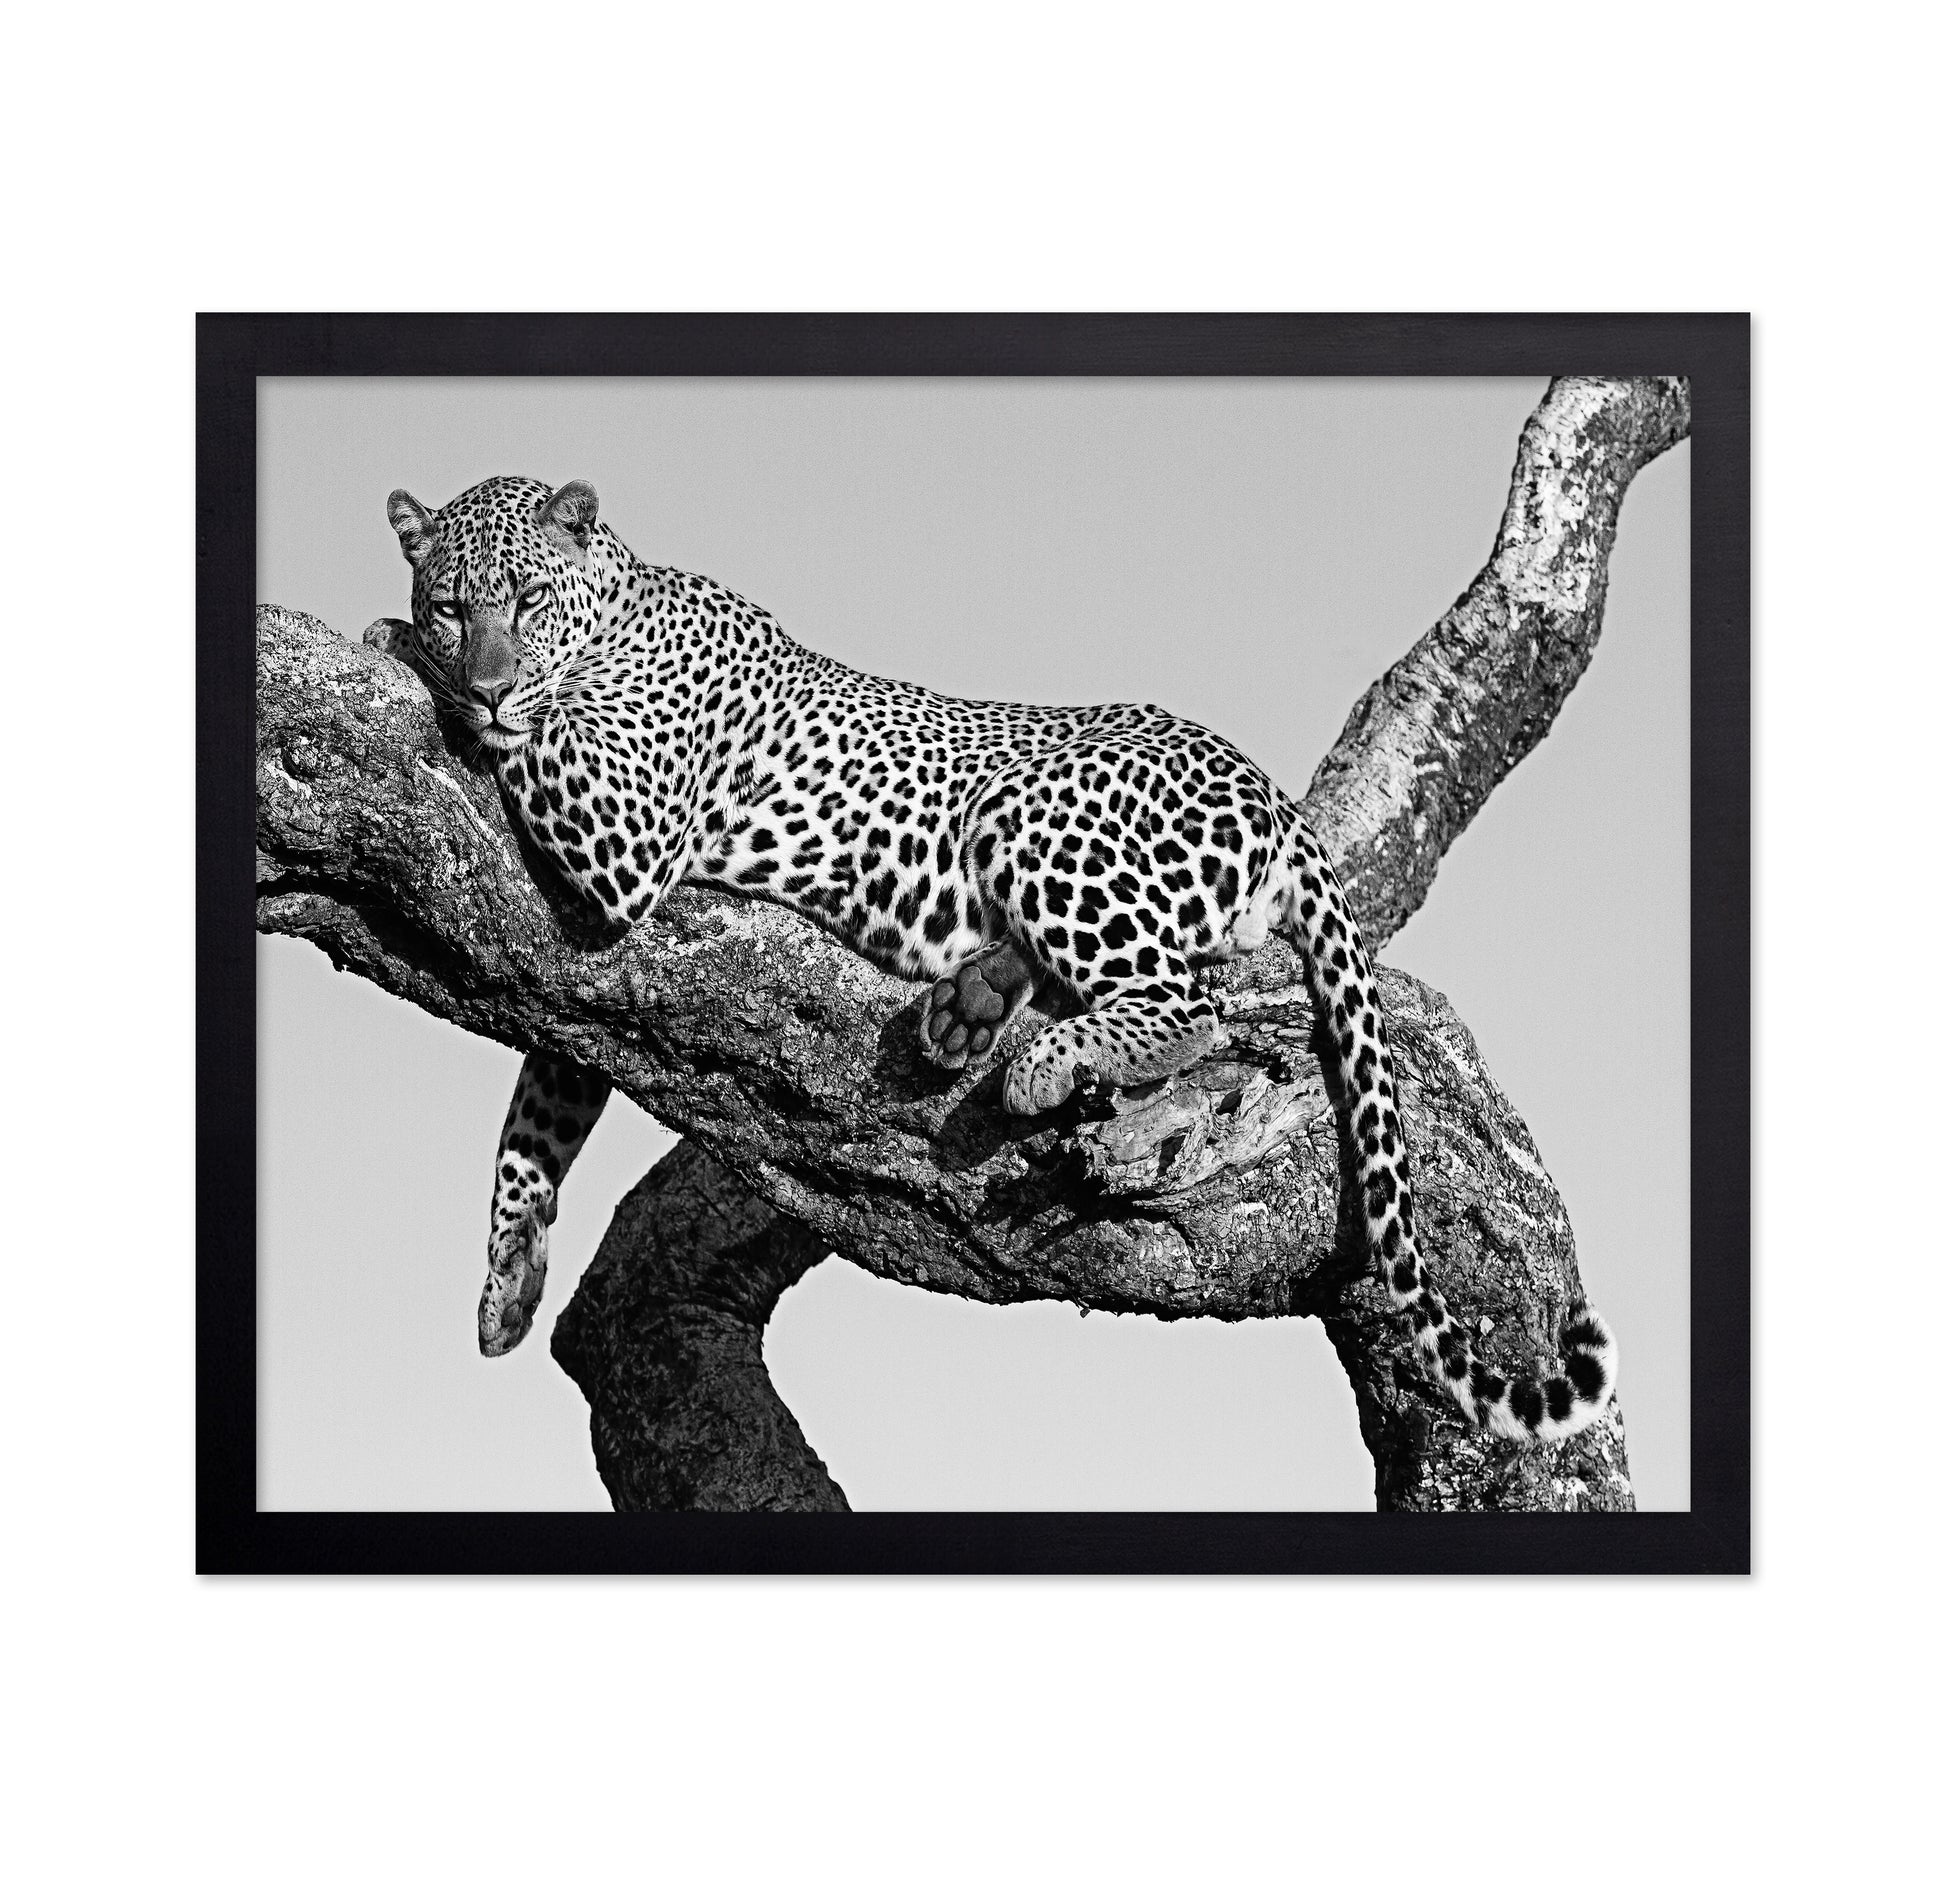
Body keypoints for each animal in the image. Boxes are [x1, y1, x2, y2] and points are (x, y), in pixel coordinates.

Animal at [369, 473, 1617, 1445]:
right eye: (453, 605)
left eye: (525, 603)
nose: (483, 680)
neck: (621, 604)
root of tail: (1270, 793)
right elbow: (541, 1106)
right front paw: (507, 1278)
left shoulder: (624, 832)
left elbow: (541, 745)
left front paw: (401, 652)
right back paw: (970, 1003)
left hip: (1034, 808)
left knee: (1191, 1001)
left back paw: (1039, 1058)